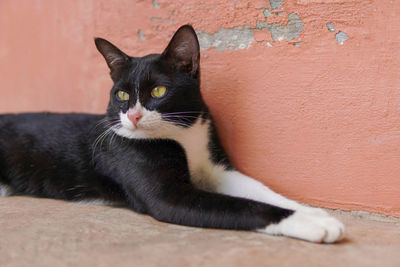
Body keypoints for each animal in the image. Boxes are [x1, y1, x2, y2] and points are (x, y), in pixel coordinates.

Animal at [0, 25, 344, 245]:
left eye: (158, 91)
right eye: (121, 95)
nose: (133, 115)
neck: (183, 136)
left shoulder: (215, 164)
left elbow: (258, 189)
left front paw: (310, 210)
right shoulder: (168, 195)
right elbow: (242, 205)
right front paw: (315, 223)